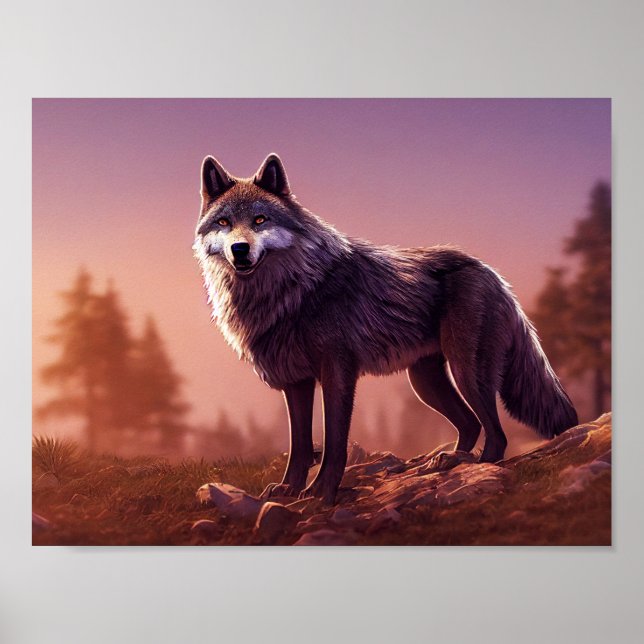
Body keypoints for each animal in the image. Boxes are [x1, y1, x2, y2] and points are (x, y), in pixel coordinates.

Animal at [193, 153, 578, 504]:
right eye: (225, 222)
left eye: (260, 220)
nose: (240, 249)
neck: (291, 292)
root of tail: (491, 273)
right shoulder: (296, 381)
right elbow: (299, 445)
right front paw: (289, 489)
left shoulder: (337, 372)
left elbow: (334, 443)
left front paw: (321, 493)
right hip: (425, 382)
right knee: (471, 424)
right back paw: (445, 461)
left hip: (466, 372)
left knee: (496, 435)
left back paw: (476, 468)